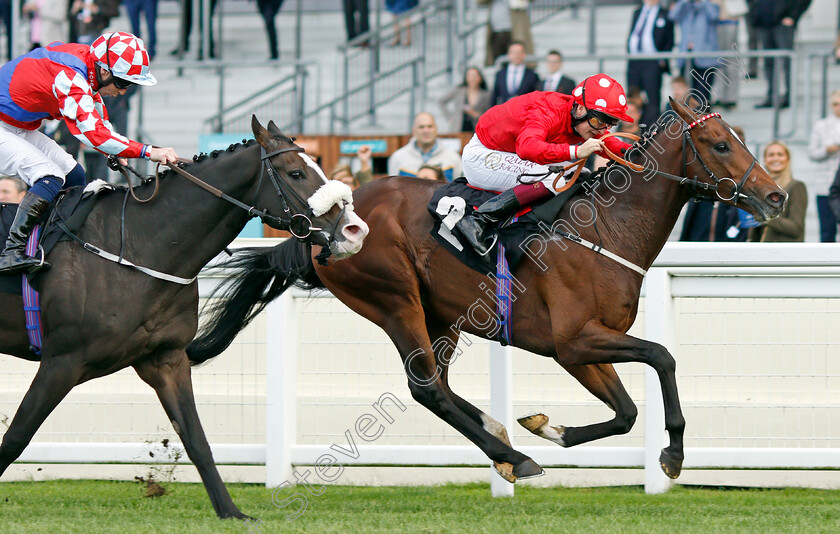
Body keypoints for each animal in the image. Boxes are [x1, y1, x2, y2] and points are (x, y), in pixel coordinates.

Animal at [0, 116, 368, 520]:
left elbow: (196, 439)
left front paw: (231, 512)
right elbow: (16, 436)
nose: (355, 230)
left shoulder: (166, 359)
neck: (136, 247)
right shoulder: (62, 360)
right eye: (296, 173)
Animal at [189, 100, 788, 486]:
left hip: (440, 316)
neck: (606, 229)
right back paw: (512, 456)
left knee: (441, 385)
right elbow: (662, 357)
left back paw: (501, 438)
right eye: (719, 144)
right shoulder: (575, 342)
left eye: (741, 140)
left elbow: (623, 412)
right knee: (426, 387)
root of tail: (328, 229)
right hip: (394, 299)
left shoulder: (583, 347)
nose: (776, 196)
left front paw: (550, 427)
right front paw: (673, 454)